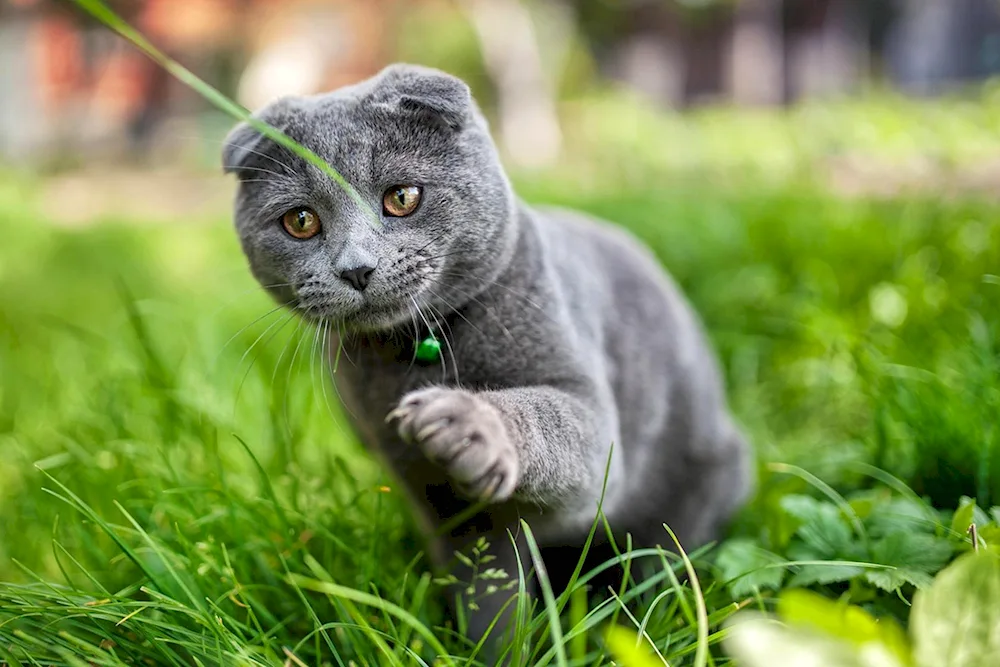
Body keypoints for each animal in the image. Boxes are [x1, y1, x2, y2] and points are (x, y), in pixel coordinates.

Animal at [223, 64, 752, 652]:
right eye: (300, 221)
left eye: (402, 196)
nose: (356, 268)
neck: (421, 352)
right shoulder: (435, 501)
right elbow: (483, 580)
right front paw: (486, 647)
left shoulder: (594, 432)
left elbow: (552, 427)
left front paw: (465, 424)